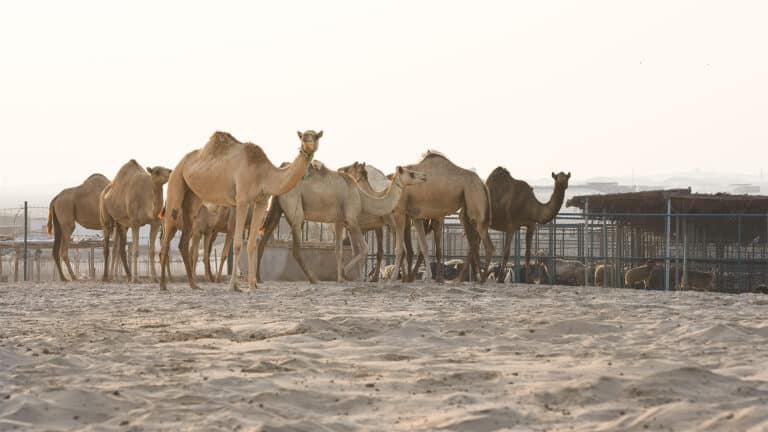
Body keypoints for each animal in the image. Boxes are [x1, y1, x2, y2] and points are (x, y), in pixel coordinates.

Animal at [159, 130, 320, 291]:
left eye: (316, 136)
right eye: (302, 136)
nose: (307, 143)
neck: (263, 173)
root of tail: (178, 165)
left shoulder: (262, 202)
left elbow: (252, 244)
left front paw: (252, 285)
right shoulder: (242, 200)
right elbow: (237, 245)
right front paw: (234, 285)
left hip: (193, 197)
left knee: (183, 241)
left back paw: (193, 285)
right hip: (175, 183)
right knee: (166, 238)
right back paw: (163, 285)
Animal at [258, 161, 427, 283]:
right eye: (411, 173)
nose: (424, 176)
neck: (362, 196)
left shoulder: (339, 221)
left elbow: (338, 250)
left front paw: (340, 278)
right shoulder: (351, 218)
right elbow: (364, 249)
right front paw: (345, 274)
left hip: (278, 207)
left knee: (263, 240)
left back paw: (259, 279)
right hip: (295, 207)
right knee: (295, 248)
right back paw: (313, 279)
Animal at [388, 151, 493, 283]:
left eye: (412, 174)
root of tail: (482, 183)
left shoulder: (400, 212)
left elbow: (399, 249)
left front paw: (394, 278)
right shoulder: (416, 215)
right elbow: (423, 246)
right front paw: (425, 277)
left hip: (474, 200)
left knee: (487, 245)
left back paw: (481, 279)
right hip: (467, 210)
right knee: (474, 242)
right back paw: (468, 278)